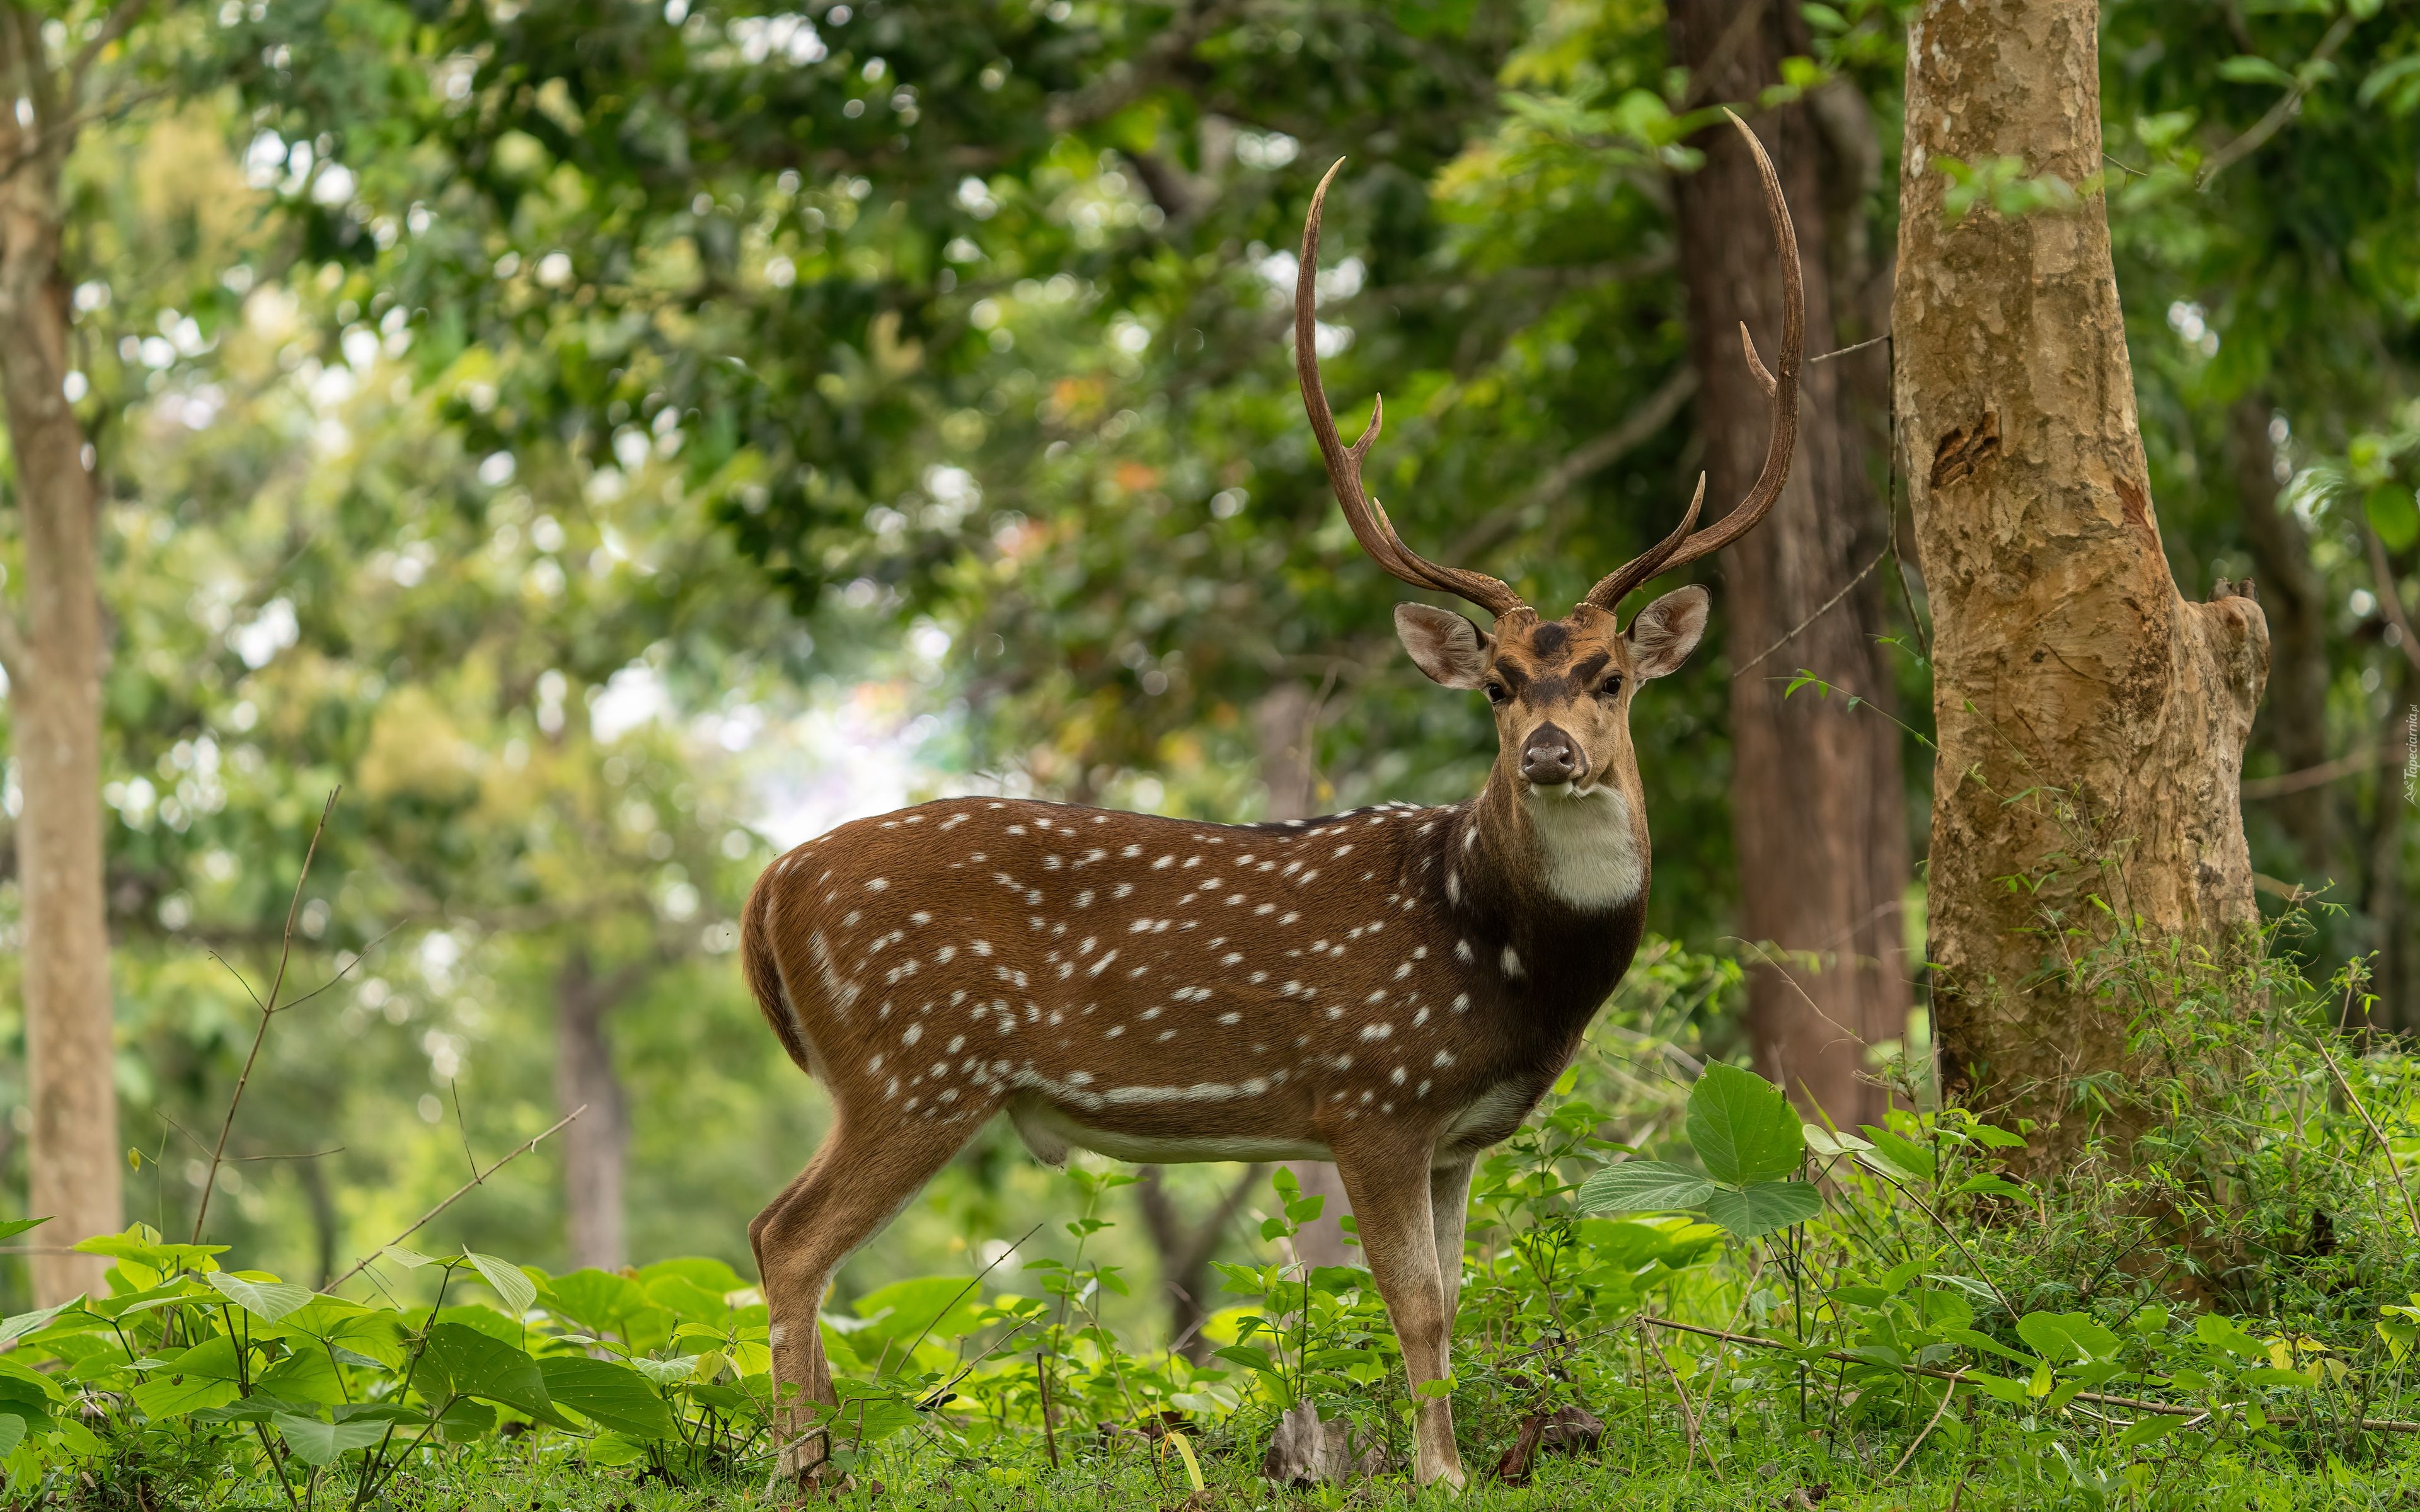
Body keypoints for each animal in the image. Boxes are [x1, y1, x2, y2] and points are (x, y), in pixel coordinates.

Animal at [735, 115, 1800, 1490]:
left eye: (1612, 676)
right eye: (1500, 684)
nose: (1553, 751)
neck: (1509, 959)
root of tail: (769, 887)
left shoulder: (1457, 1132)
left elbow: (1456, 1298)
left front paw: (1443, 1459)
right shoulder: (1372, 1094)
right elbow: (1413, 1304)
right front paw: (1440, 1473)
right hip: (915, 1063)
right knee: (785, 1234)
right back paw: (798, 1465)